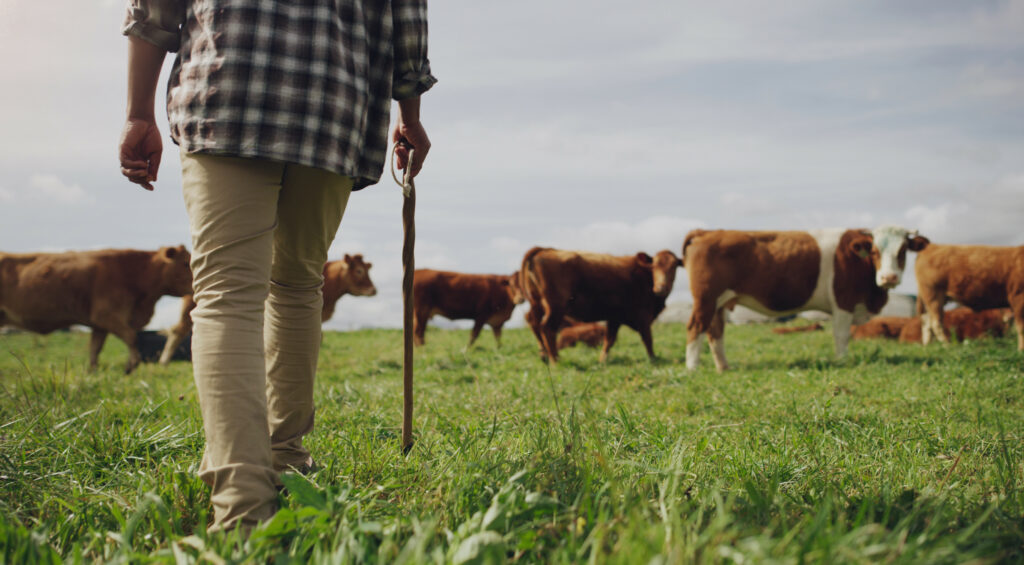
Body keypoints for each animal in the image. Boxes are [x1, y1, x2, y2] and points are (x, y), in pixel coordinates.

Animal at [0, 244, 193, 372]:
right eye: (185, 263)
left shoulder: (99, 324)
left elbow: (95, 348)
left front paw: (93, 371)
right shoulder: (106, 315)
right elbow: (132, 337)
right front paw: (130, 365)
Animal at [520, 245, 679, 362]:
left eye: (674, 267)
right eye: (654, 266)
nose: (661, 288)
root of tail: (545, 249)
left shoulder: (615, 318)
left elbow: (609, 340)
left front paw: (602, 360)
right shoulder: (643, 315)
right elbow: (648, 338)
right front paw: (653, 359)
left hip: (538, 304)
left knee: (534, 322)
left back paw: (544, 355)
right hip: (555, 306)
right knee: (546, 328)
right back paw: (555, 360)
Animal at [679, 225, 929, 370]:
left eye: (903, 251)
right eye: (875, 251)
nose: (889, 277)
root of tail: (707, 231)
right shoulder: (843, 302)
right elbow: (841, 335)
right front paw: (842, 361)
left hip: (719, 303)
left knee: (715, 332)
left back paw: (724, 367)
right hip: (706, 299)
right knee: (695, 327)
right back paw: (692, 368)